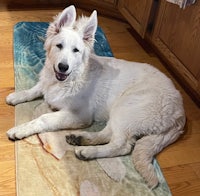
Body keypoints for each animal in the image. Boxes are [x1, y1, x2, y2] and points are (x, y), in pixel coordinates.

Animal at [6, 4, 185, 188]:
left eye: (76, 51)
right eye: (59, 46)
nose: (63, 67)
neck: (70, 78)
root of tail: (180, 113)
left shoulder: (80, 115)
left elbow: (44, 118)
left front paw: (20, 129)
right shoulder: (48, 84)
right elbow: (35, 89)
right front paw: (18, 95)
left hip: (126, 107)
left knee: (122, 145)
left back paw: (88, 151)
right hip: (120, 113)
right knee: (107, 134)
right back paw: (80, 138)